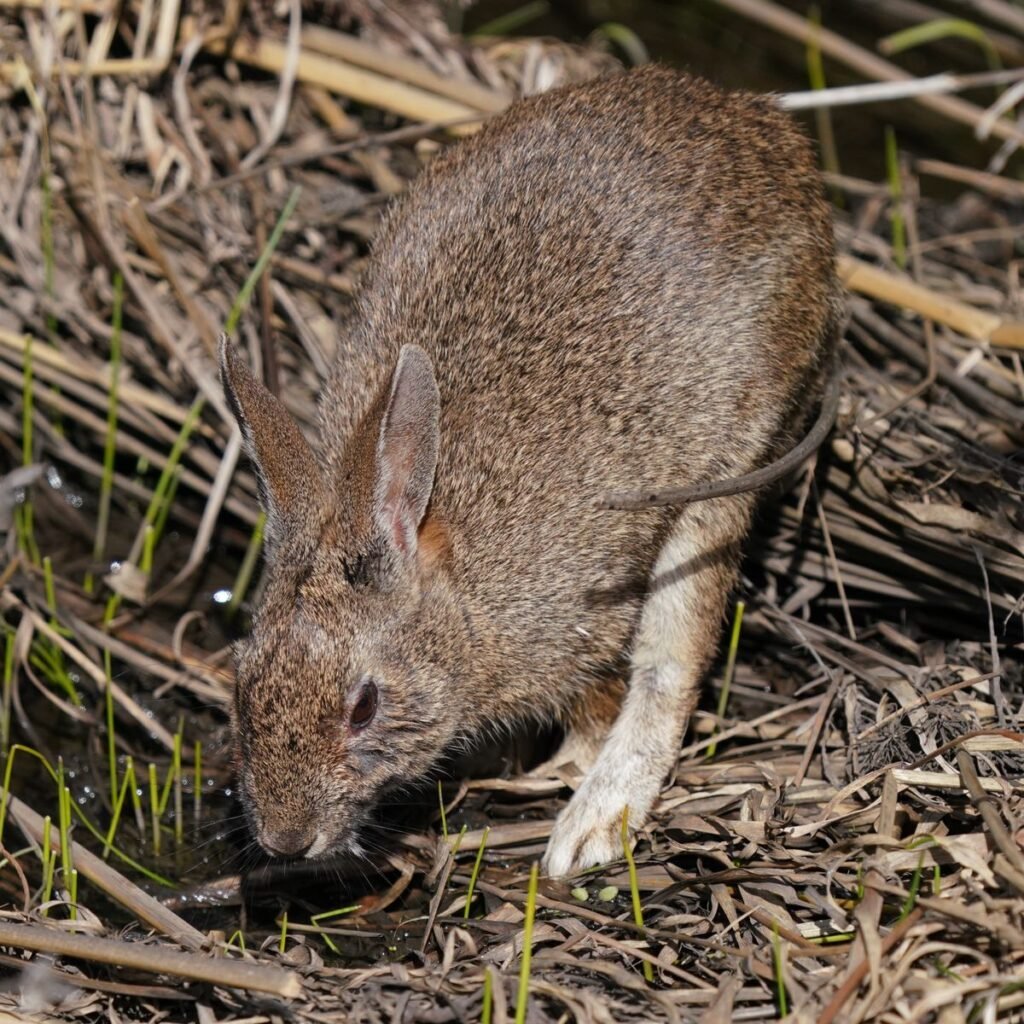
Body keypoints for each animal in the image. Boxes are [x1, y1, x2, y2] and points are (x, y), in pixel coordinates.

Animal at [220, 64, 841, 877]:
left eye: (365, 706)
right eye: (241, 688)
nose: (287, 841)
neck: (456, 598)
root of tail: (777, 144)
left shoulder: (585, 623)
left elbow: (605, 696)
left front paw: (559, 773)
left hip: (729, 466)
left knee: (673, 661)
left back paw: (592, 827)